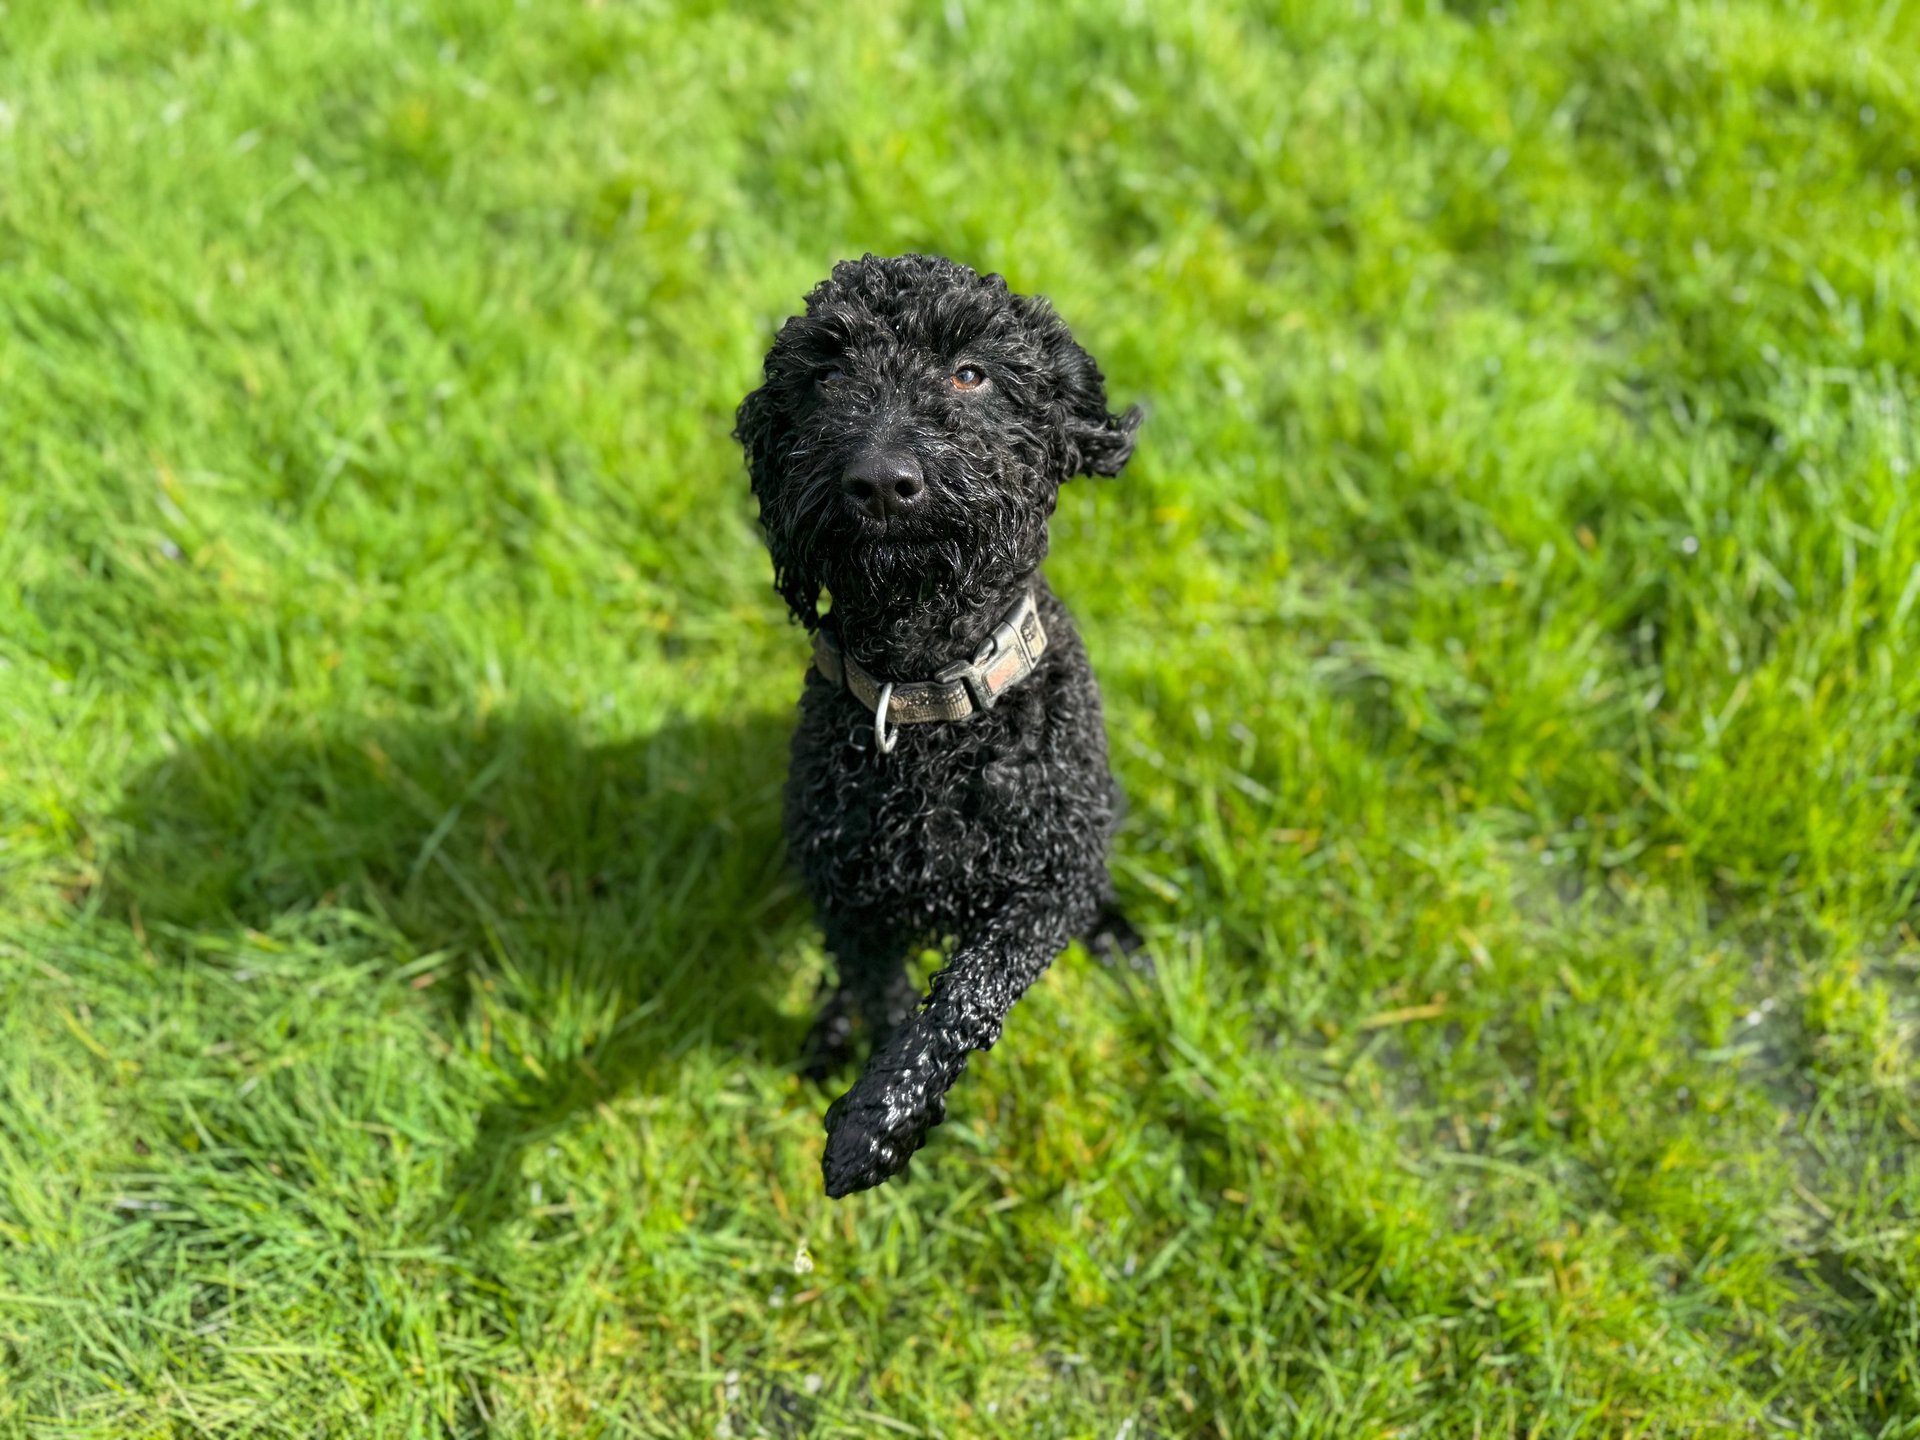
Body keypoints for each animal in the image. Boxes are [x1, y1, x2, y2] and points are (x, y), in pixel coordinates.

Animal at [737, 253, 1136, 1198]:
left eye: (971, 373)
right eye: (825, 375)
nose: (882, 480)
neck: (929, 713)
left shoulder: (1048, 881)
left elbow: (969, 989)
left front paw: (878, 1122)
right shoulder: (850, 896)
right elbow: (883, 994)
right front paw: (874, 1099)